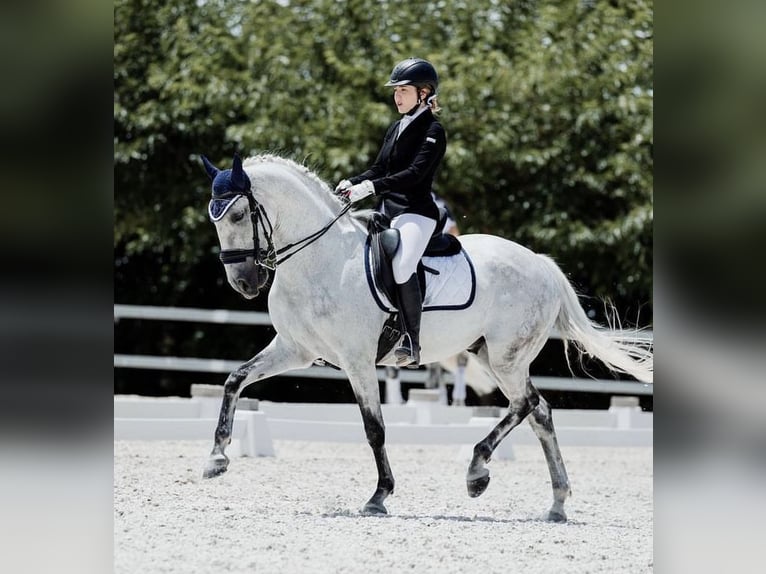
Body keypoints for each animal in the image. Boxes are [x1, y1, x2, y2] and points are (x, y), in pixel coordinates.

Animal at [199, 153, 653, 522]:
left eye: (237, 217)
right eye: (214, 219)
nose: (244, 282)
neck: (320, 261)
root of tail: (540, 263)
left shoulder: (357, 360)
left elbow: (375, 428)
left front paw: (379, 496)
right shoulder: (295, 349)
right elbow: (235, 379)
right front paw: (217, 458)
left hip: (506, 358)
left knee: (525, 404)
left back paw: (477, 472)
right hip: (491, 356)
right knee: (539, 412)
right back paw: (556, 502)